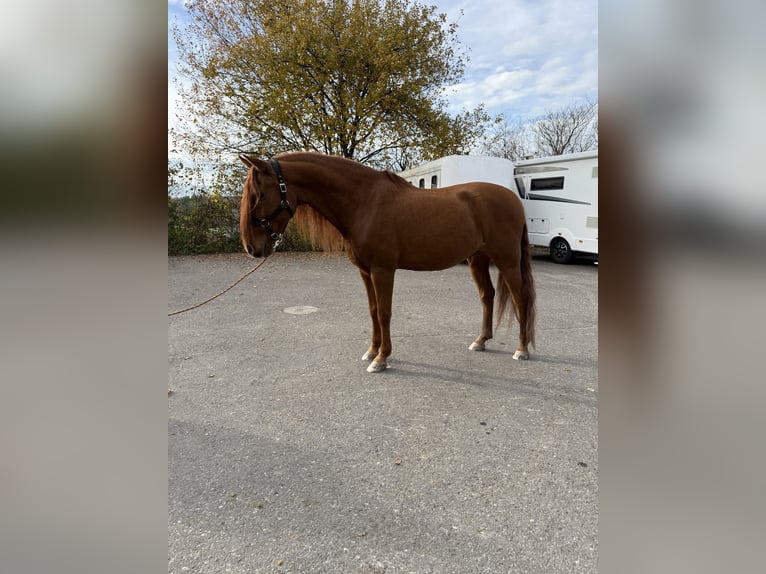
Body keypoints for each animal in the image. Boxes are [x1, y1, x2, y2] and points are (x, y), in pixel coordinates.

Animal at [239, 152, 536, 373]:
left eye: (260, 195)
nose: (252, 248)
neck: (364, 201)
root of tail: (514, 200)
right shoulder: (365, 271)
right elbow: (372, 311)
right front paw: (371, 351)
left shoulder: (383, 270)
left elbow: (384, 312)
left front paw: (381, 359)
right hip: (478, 259)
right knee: (487, 295)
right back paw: (481, 341)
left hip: (508, 260)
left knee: (520, 299)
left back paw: (521, 349)